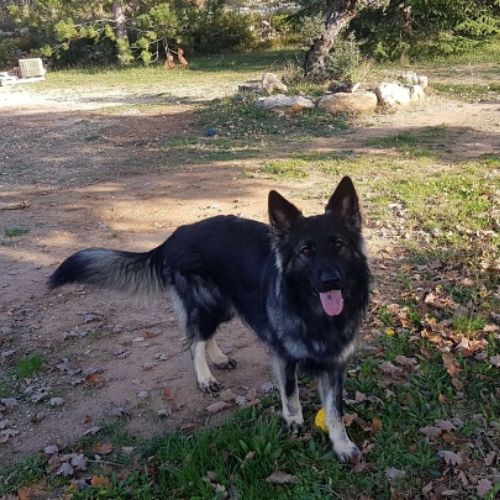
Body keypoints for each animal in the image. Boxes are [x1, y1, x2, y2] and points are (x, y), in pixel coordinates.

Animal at [49, 176, 370, 463]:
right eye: (306, 251)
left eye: (339, 245)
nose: (331, 281)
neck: (312, 312)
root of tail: (177, 234)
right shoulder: (284, 358)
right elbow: (290, 395)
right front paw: (293, 422)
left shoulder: (334, 366)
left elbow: (334, 411)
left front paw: (342, 445)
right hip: (206, 306)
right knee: (193, 341)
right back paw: (204, 377)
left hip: (222, 307)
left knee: (205, 336)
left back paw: (218, 358)